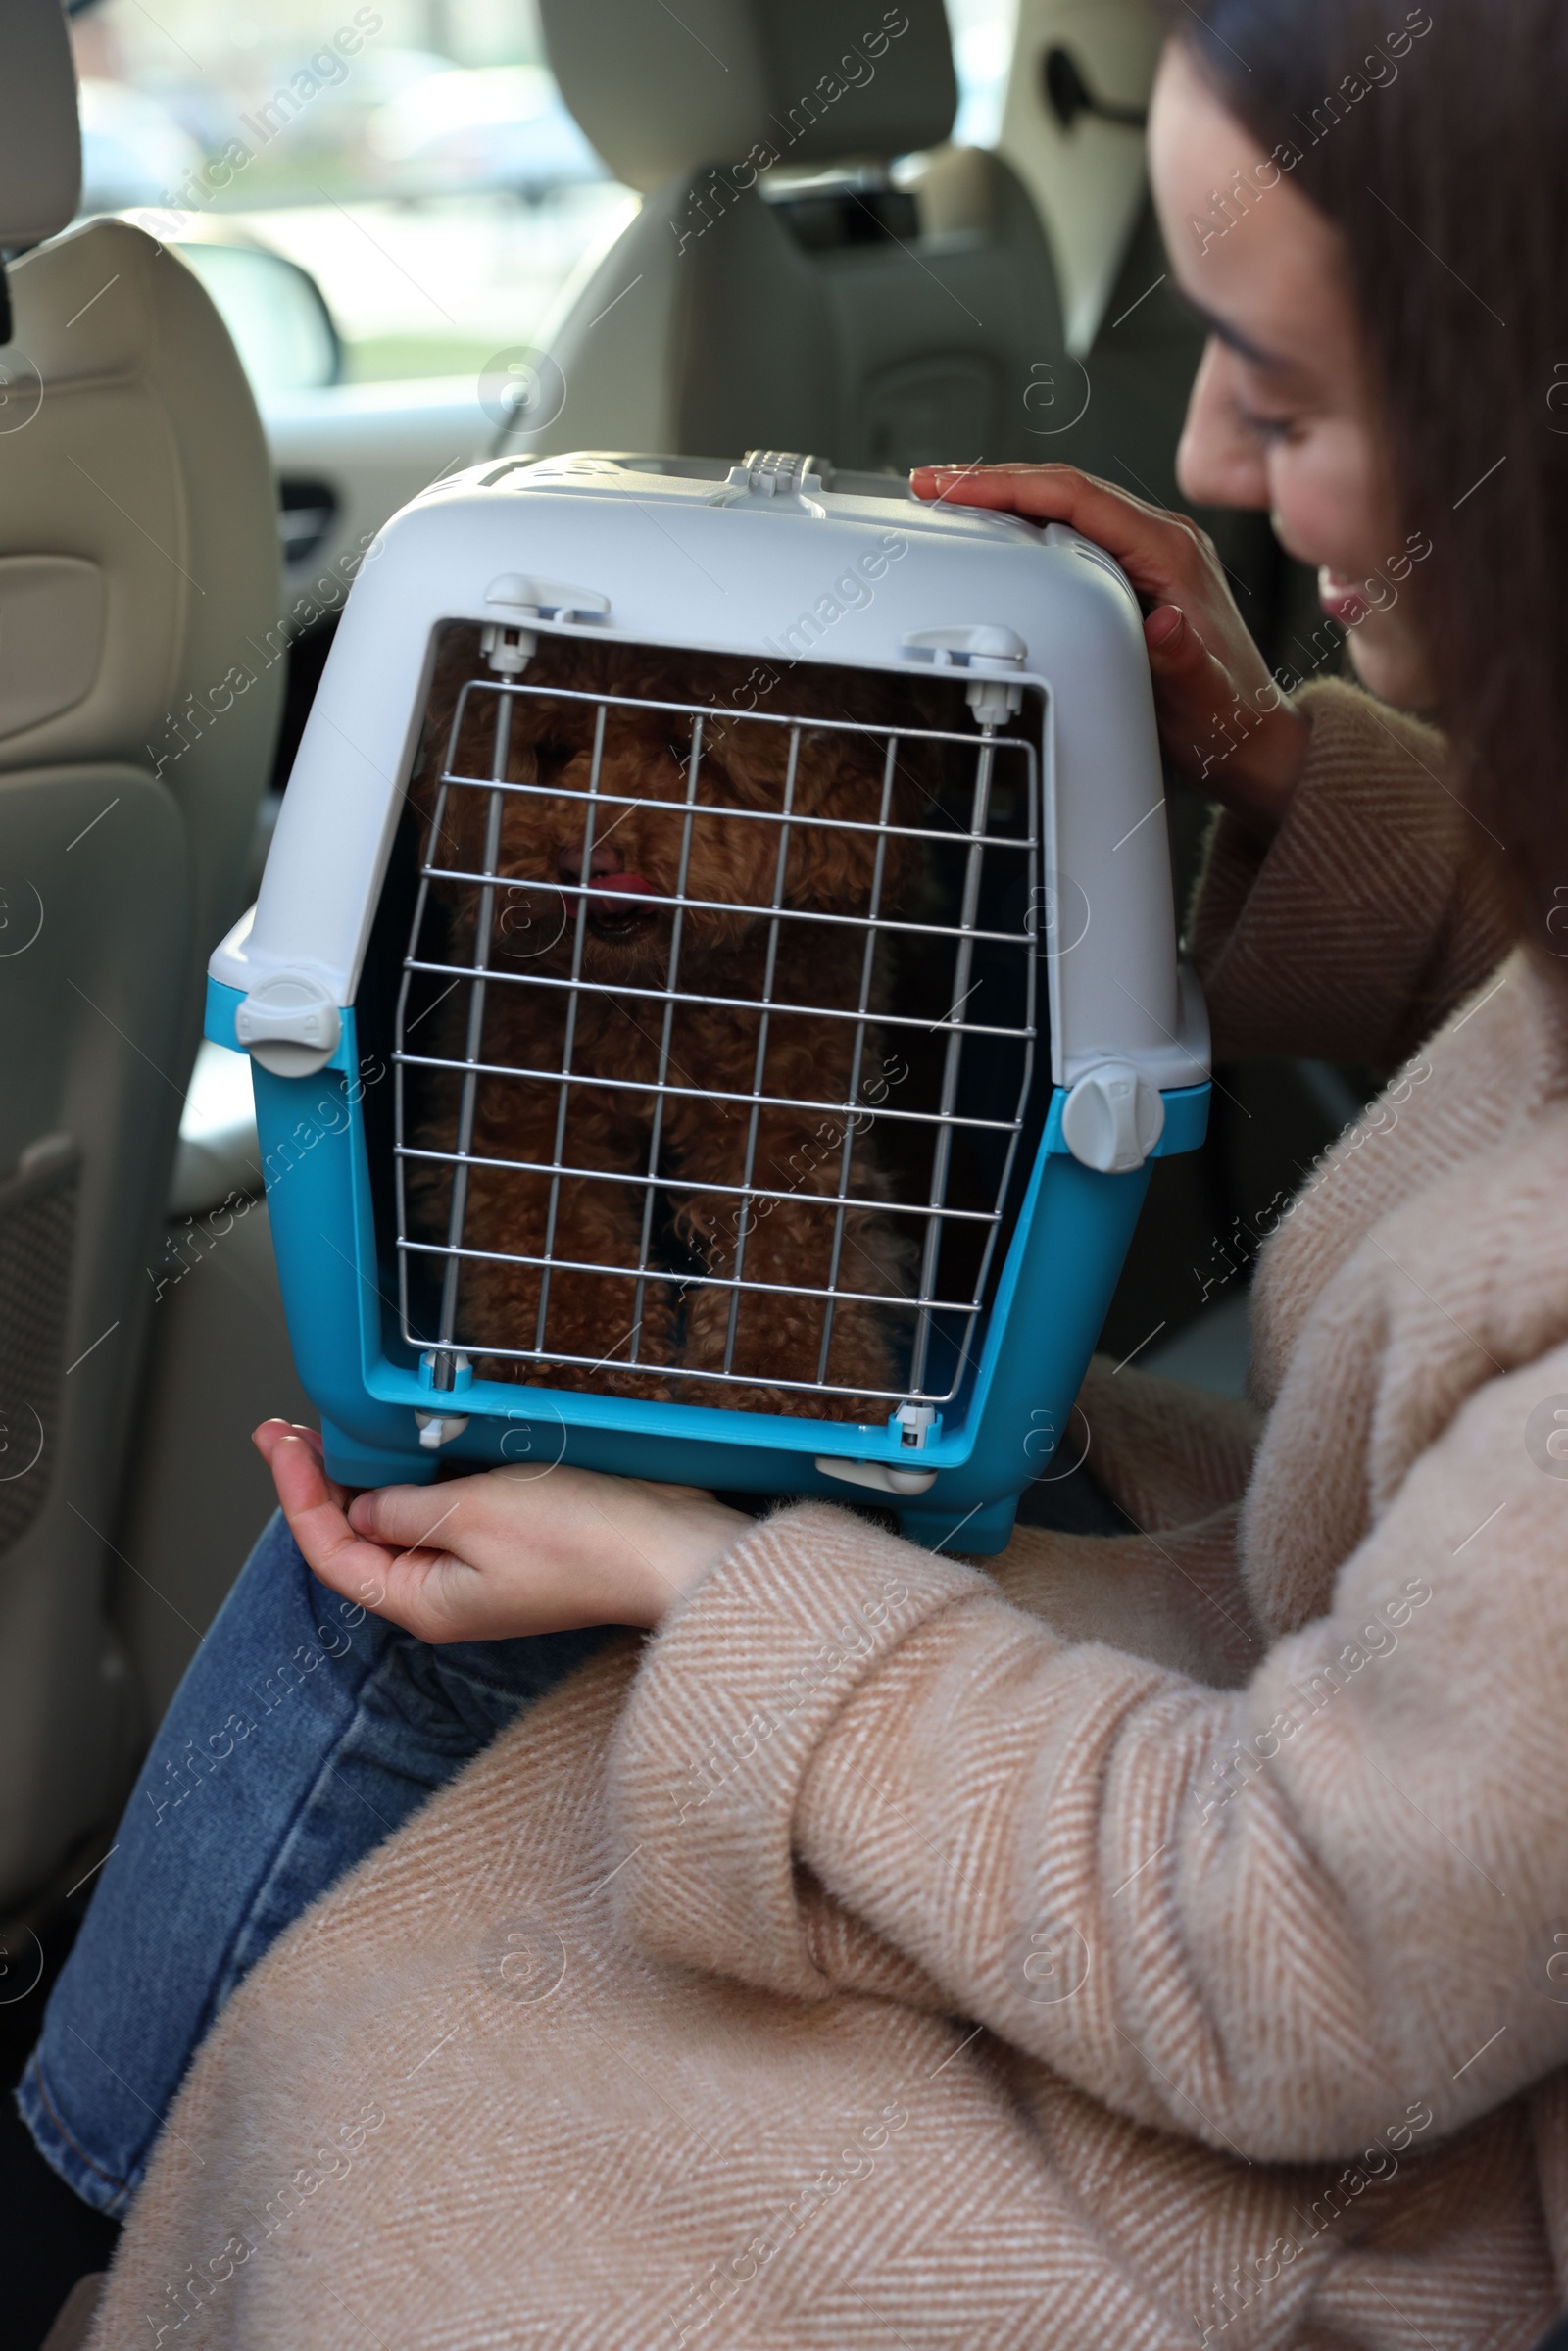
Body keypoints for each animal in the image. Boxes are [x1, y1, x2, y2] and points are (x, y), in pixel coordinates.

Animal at [409, 625, 945, 1410]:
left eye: (688, 747)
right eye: (551, 749)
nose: (587, 861)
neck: (657, 988)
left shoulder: (788, 1122)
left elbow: (792, 1258)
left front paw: (790, 1388)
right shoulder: (528, 1113)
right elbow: (551, 1234)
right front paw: (575, 1365)